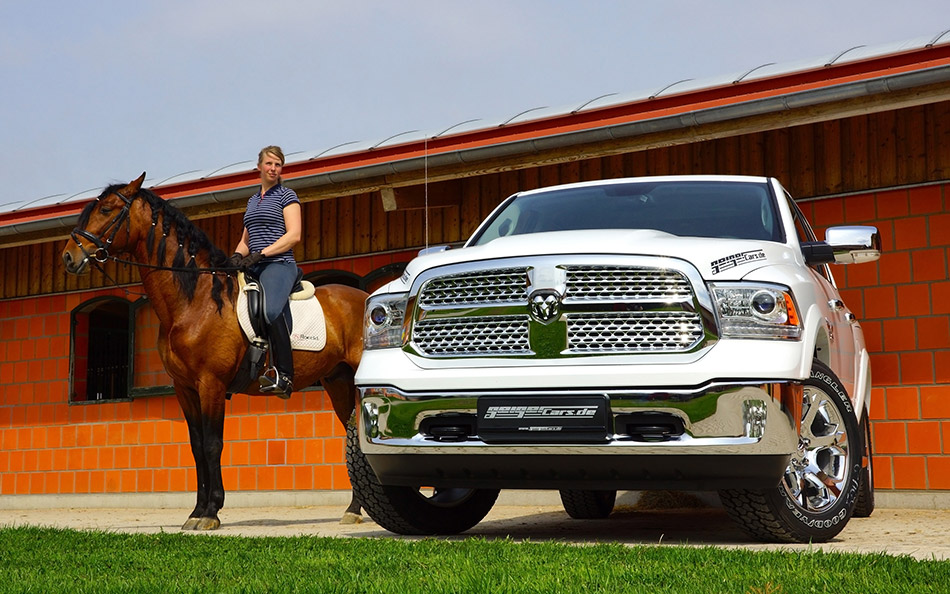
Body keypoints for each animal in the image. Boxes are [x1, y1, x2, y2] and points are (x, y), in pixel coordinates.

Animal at [62, 171, 368, 528]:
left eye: (107, 209)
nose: (69, 257)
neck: (196, 300)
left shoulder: (211, 383)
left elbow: (212, 444)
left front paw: (210, 513)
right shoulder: (185, 388)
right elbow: (196, 446)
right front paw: (196, 511)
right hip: (338, 381)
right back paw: (353, 509)